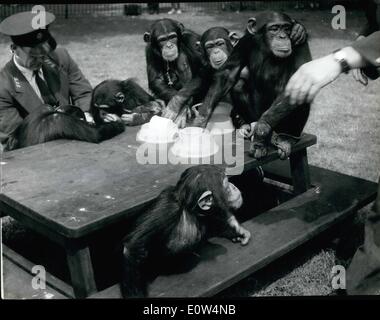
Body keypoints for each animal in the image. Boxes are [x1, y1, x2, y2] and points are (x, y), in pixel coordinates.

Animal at [121, 165, 252, 298]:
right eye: (226, 185)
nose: (234, 186)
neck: (189, 210)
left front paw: (238, 232)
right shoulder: (166, 209)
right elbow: (132, 248)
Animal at [197, 11, 310, 159]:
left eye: (286, 28)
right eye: (274, 29)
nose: (283, 36)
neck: (265, 45)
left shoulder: (300, 43)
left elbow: (301, 79)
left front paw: (261, 132)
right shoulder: (245, 41)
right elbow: (228, 73)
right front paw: (200, 120)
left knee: (302, 93)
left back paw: (286, 138)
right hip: (257, 113)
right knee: (238, 85)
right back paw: (252, 126)